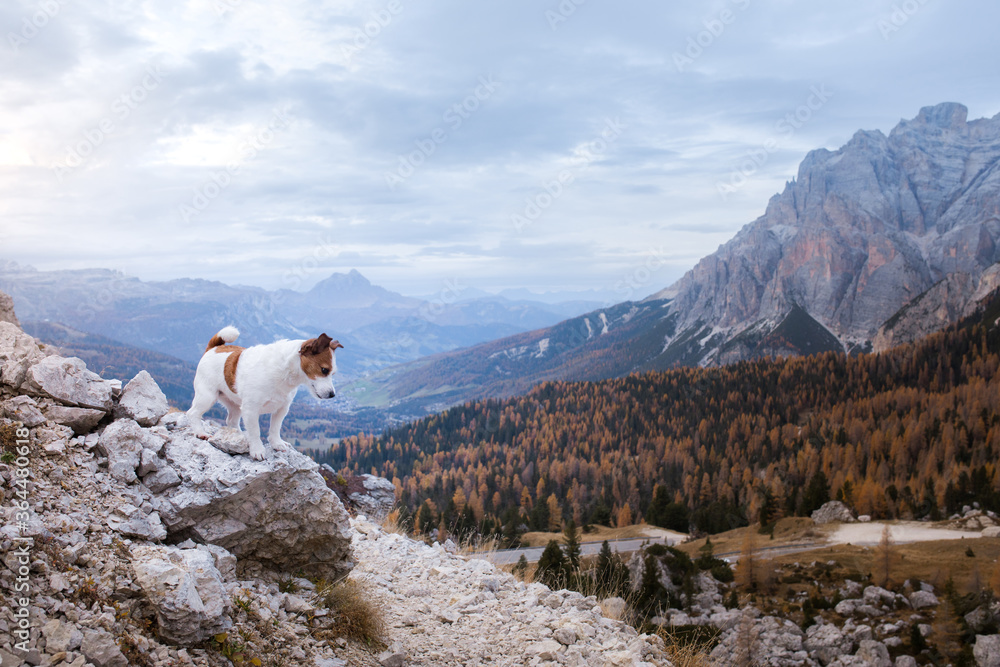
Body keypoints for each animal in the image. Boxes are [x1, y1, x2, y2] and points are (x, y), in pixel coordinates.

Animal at [188, 326, 344, 462]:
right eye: (324, 370)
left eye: (333, 373)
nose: (332, 395)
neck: (283, 372)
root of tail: (214, 348)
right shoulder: (251, 410)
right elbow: (255, 431)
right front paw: (257, 450)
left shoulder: (282, 408)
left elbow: (275, 428)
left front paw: (276, 443)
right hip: (207, 397)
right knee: (193, 413)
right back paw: (200, 432)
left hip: (235, 405)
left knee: (231, 420)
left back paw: (240, 436)